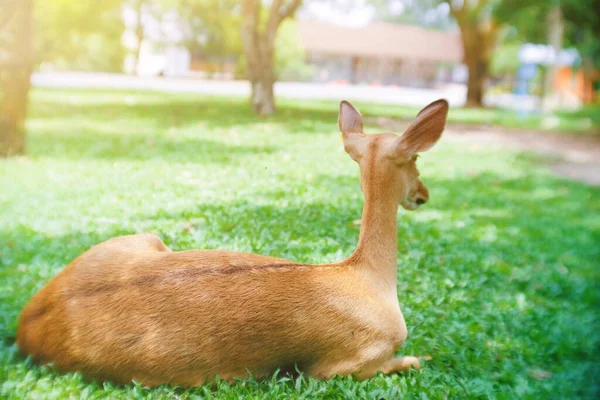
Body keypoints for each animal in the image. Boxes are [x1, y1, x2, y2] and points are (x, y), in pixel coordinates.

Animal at [16, 97, 448, 388]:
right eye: (416, 160)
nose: (423, 194)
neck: (370, 278)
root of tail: (23, 328)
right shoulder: (342, 364)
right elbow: (408, 361)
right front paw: (424, 355)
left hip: (146, 239)